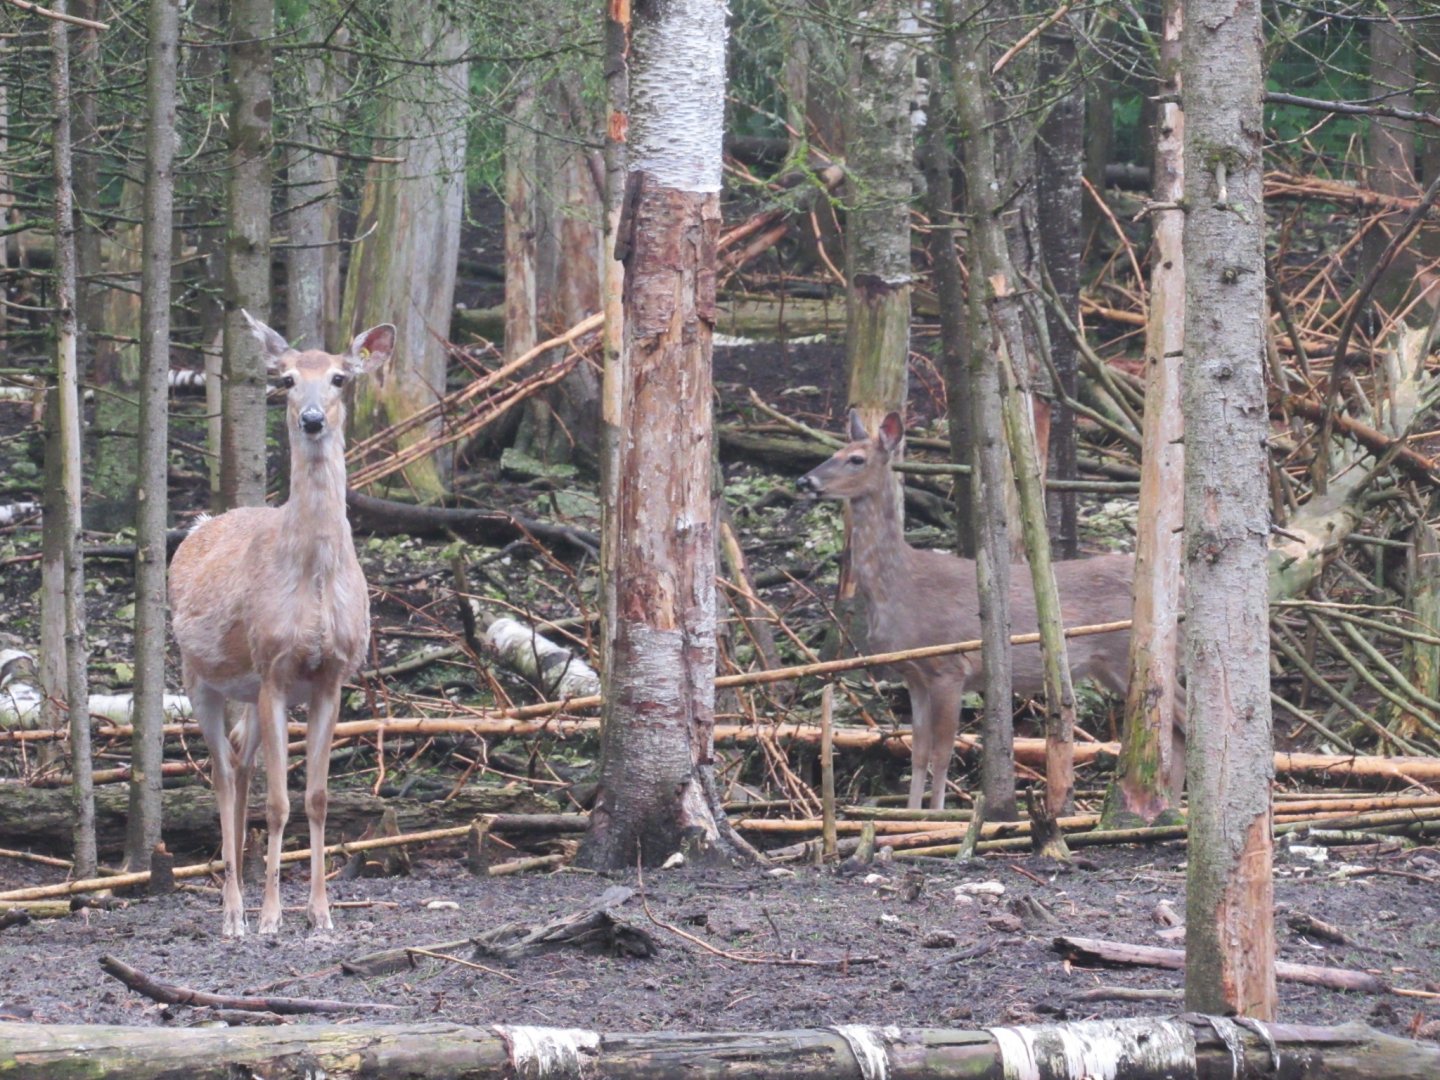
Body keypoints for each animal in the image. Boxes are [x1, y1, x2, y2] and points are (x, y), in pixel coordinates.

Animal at [169, 311, 393, 937]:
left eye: (340, 377)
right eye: (287, 379)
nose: (312, 418)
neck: (314, 577)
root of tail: (198, 525)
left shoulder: (330, 676)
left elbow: (316, 797)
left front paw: (321, 913)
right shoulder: (273, 666)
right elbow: (279, 802)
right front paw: (272, 917)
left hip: (246, 690)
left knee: (240, 763)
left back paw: (241, 897)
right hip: (199, 675)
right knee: (222, 774)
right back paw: (233, 913)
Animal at [798, 410, 1149, 811]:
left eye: (856, 459)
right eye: (834, 451)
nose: (804, 480)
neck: (901, 589)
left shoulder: (949, 668)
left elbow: (942, 753)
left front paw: (936, 813)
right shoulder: (914, 676)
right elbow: (917, 752)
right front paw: (911, 813)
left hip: (1124, 653)